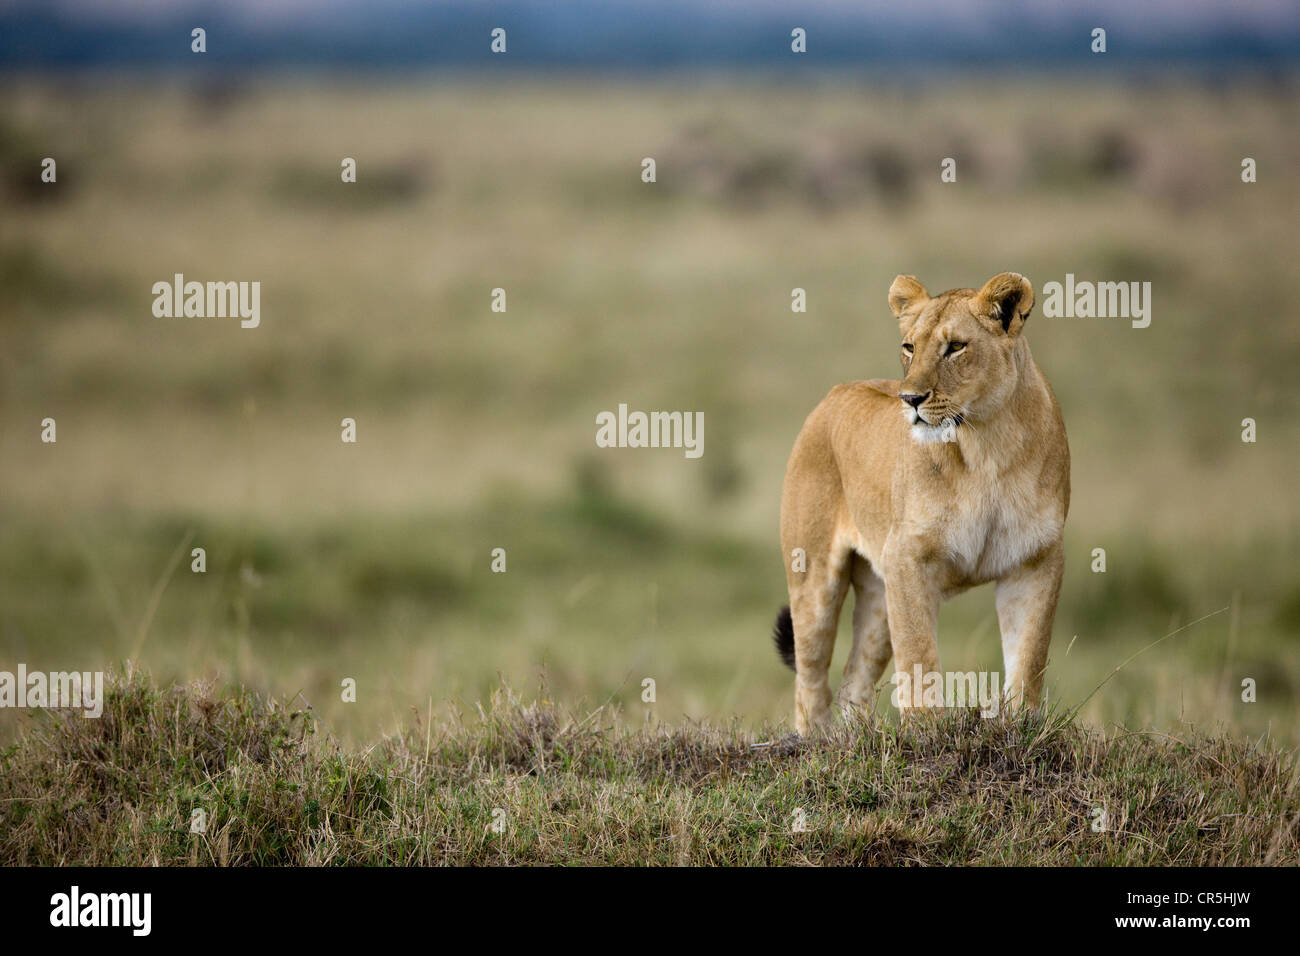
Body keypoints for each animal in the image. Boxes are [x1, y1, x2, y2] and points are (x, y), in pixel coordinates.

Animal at [772, 272, 1070, 734]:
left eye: (956, 347)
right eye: (909, 346)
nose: (910, 399)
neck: (985, 444)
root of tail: (834, 392)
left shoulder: (1035, 558)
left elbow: (1029, 653)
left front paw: (1018, 725)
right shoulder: (908, 557)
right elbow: (918, 656)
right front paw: (928, 730)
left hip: (880, 597)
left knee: (853, 683)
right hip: (815, 577)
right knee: (810, 680)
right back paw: (815, 742)